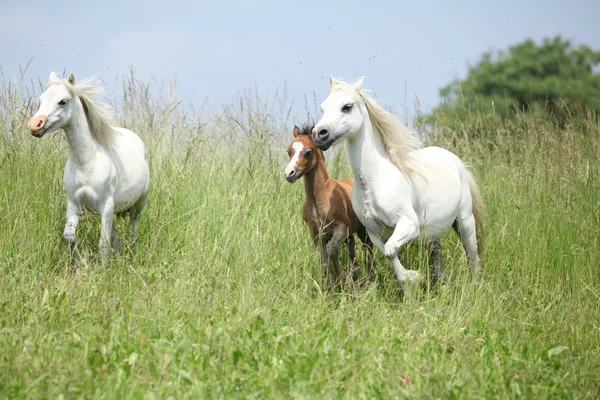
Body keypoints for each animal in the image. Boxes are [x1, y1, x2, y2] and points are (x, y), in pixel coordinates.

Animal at [27, 72, 150, 260]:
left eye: (62, 101)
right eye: (40, 100)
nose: (34, 125)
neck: (86, 163)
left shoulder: (106, 205)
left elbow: (103, 245)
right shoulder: (74, 204)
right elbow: (69, 236)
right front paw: (81, 262)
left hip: (137, 204)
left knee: (133, 228)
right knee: (116, 238)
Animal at [284, 124, 372, 288]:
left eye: (308, 152)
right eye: (289, 151)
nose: (289, 174)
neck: (318, 200)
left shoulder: (341, 228)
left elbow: (332, 251)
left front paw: (343, 277)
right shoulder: (316, 234)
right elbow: (324, 259)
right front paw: (330, 286)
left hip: (362, 230)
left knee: (368, 250)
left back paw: (369, 276)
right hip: (350, 234)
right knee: (352, 252)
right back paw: (357, 275)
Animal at [312, 76, 486, 294]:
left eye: (347, 107)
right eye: (323, 108)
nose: (319, 134)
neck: (375, 182)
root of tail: (456, 162)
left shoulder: (408, 224)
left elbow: (390, 252)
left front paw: (413, 277)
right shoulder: (374, 233)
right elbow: (390, 256)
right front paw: (410, 287)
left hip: (464, 221)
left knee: (473, 259)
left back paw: (476, 288)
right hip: (434, 232)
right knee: (438, 261)